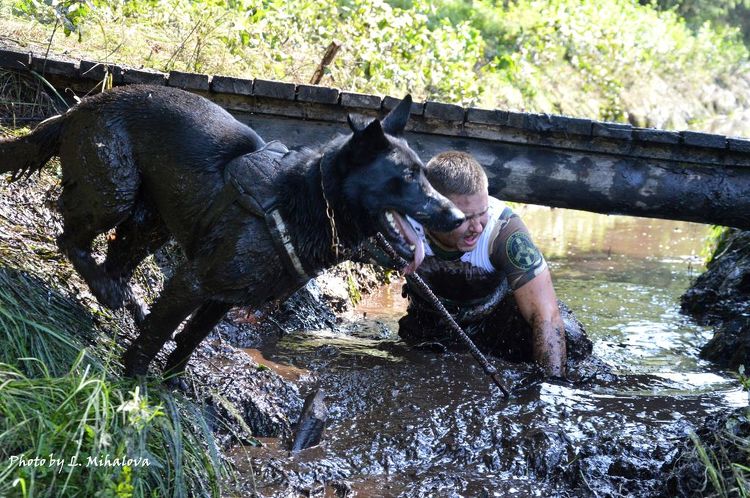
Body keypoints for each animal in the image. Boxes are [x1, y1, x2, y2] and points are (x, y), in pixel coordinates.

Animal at [1, 84, 464, 378]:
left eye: (425, 174)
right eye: (405, 178)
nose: (458, 217)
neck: (306, 201)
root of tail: (77, 108)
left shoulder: (221, 299)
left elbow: (188, 341)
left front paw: (172, 385)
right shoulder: (192, 282)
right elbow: (157, 338)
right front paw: (135, 384)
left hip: (152, 223)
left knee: (117, 261)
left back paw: (123, 298)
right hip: (115, 189)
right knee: (69, 238)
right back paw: (105, 290)